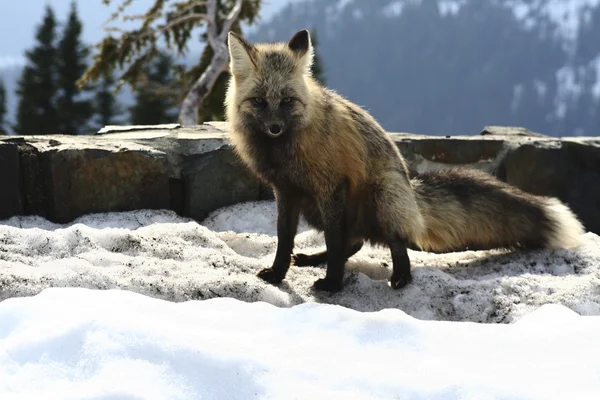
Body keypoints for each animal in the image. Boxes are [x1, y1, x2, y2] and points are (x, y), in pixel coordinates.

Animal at [223, 27, 584, 290]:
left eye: (286, 101)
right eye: (259, 101)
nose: (274, 127)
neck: (286, 150)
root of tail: (412, 188)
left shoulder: (330, 188)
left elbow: (336, 242)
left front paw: (333, 284)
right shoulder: (286, 191)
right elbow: (285, 240)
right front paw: (277, 274)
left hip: (380, 198)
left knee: (394, 244)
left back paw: (400, 277)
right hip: (323, 209)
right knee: (356, 242)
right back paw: (315, 259)